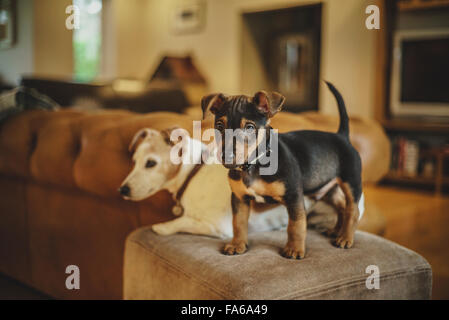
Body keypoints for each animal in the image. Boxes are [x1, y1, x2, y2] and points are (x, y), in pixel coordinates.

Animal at [119, 127, 364, 238]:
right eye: (134, 161)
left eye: (151, 163)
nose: (122, 189)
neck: (195, 170)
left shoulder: (218, 227)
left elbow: (179, 222)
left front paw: (162, 226)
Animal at [201, 81, 362, 258]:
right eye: (219, 126)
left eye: (249, 127)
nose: (226, 156)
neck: (254, 164)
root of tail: (342, 136)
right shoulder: (239, 198)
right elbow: (238, 223)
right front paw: (237, 244)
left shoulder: (293, 196)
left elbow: (296, 225)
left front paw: (295, 249)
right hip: (326, 186)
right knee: (341, 205)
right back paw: (336, 231)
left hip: (351, 181)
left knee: (352, 210)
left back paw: (345, 238)